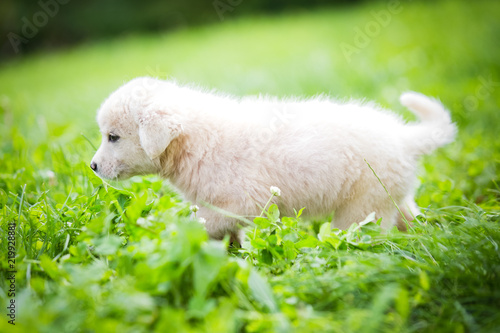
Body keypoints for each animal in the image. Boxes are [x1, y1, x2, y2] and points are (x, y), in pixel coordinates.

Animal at [91, 77, 458, 239]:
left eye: (113, 137)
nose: (92, 166)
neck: (197, 142)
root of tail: (404, 138)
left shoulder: (244, 203)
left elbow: (205, 221)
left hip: (361, 208)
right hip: (391, 197)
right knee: (411, 218)